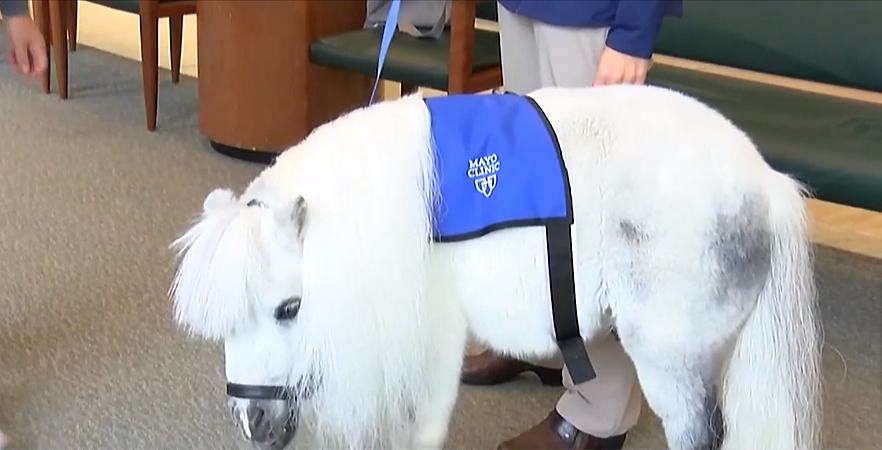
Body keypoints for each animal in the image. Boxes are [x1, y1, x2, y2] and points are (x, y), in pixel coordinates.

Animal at [170, 85, 820, 450]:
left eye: (289, 309)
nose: (252, 422)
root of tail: (766, 183)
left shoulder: (432, 338)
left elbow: (423, 431)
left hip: (670, 359)